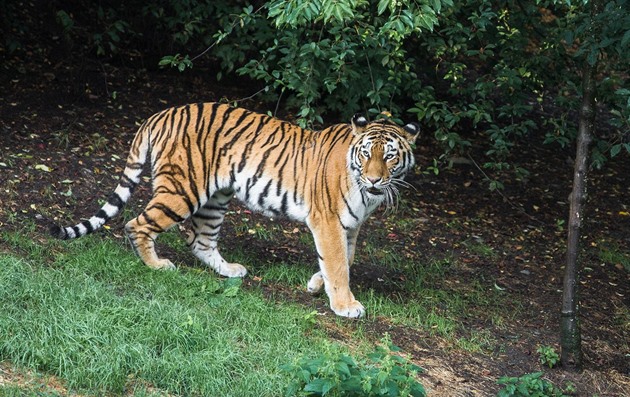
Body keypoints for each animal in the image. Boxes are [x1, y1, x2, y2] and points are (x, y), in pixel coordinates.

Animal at [51, 101, 420, 316]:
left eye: (389, 156)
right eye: (366, 153)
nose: (374, 179)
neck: (367, 193)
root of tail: (160, 114)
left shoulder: (351, 225)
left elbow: (345, 259)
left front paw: (317, 285)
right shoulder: (328, 221)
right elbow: (339, 264)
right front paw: (345, 305)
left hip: (216, 198)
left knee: (199, 241)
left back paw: (230, 271)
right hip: (182, 190)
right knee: (137, 224)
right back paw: (157, 265)